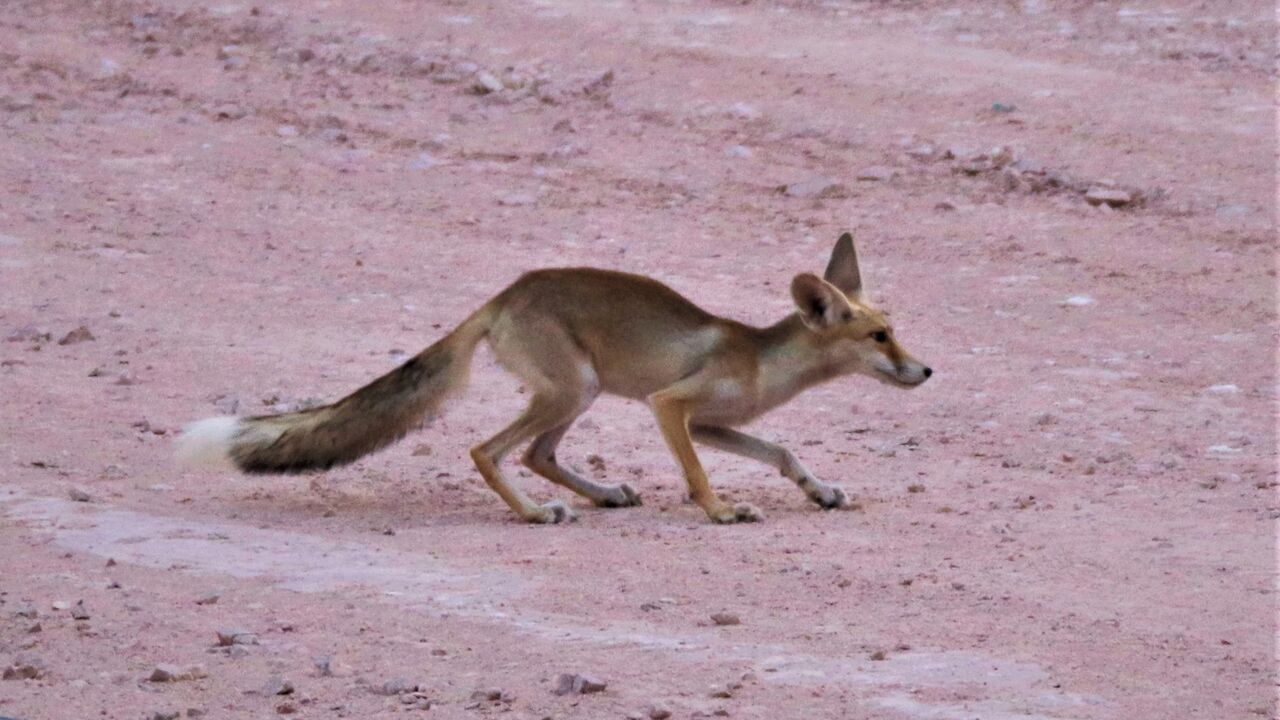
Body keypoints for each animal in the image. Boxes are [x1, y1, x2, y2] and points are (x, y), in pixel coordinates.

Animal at [177, 232, 931, 524]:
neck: (760, 362)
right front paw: (719, 511)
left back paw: (600, 495)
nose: (926, 369)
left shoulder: (714, 423)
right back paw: (536, 514)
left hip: (576, 395)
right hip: (575, 389)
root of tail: (506, 294)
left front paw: (820, 491)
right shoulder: (670, 405)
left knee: (538, 455)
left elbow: (782, 452)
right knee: (488, 450)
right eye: (878, 337)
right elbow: (696, 475)